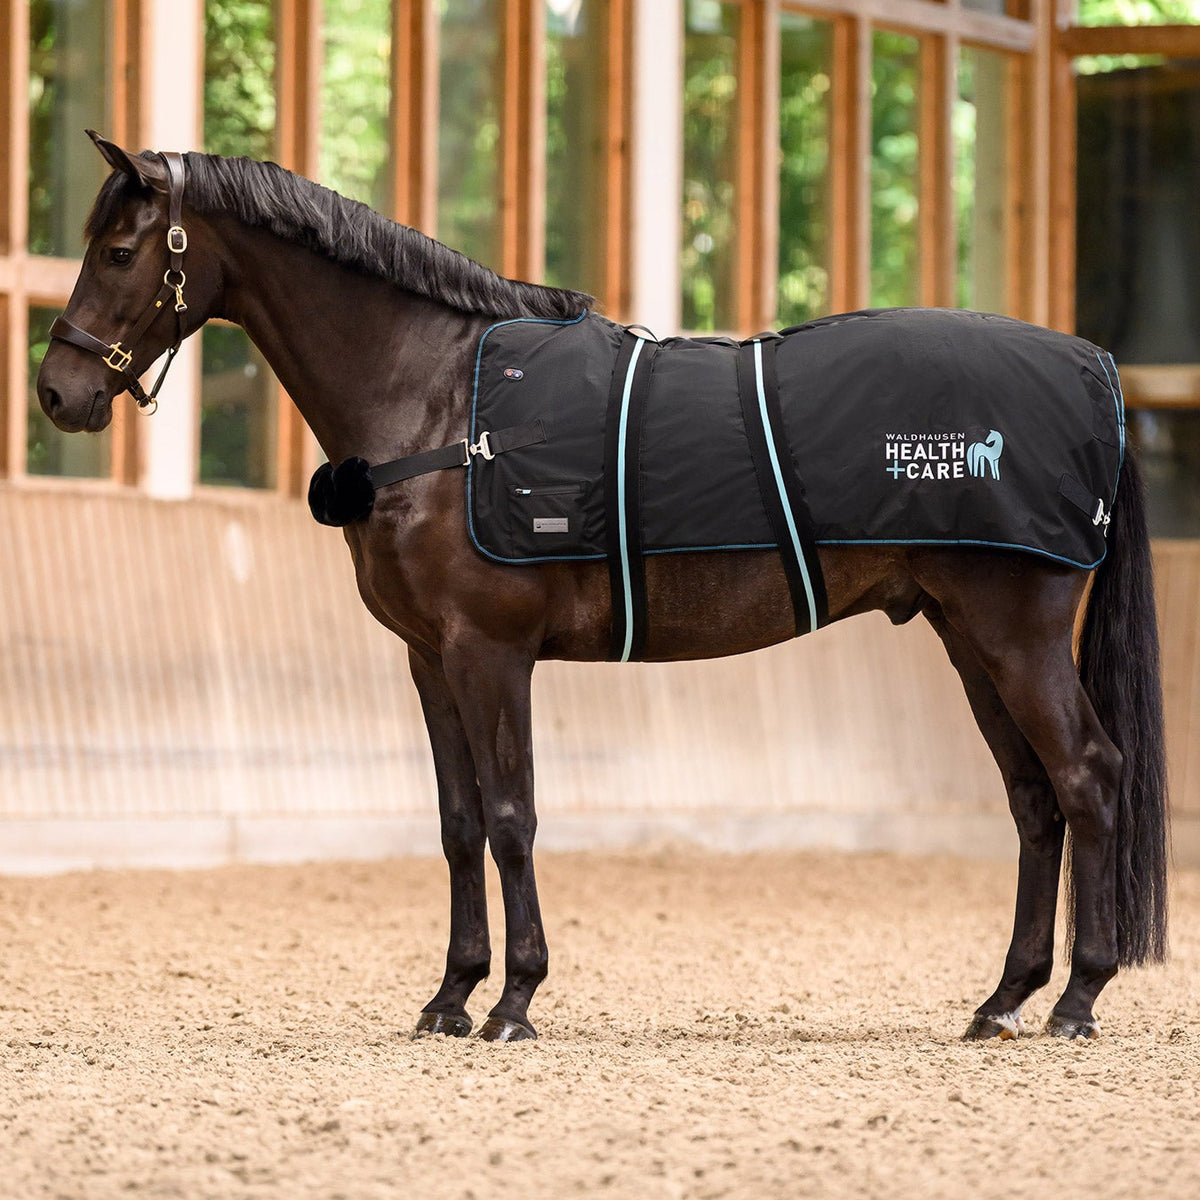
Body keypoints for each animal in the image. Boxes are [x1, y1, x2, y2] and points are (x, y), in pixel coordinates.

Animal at [37, 133, 1168, 1044]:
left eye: (122, 252)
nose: (58, 392)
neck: (441, 397)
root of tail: (1095, 369)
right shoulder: (429, 658)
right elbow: (456, 822)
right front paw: (450, 996)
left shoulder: (490, 652)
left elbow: (510, 814)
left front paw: (513, 1000)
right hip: (966, 635)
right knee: (1033, 801)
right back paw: (1005, 999)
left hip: (1014, 636)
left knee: (1088, 777)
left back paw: (1076, 999)